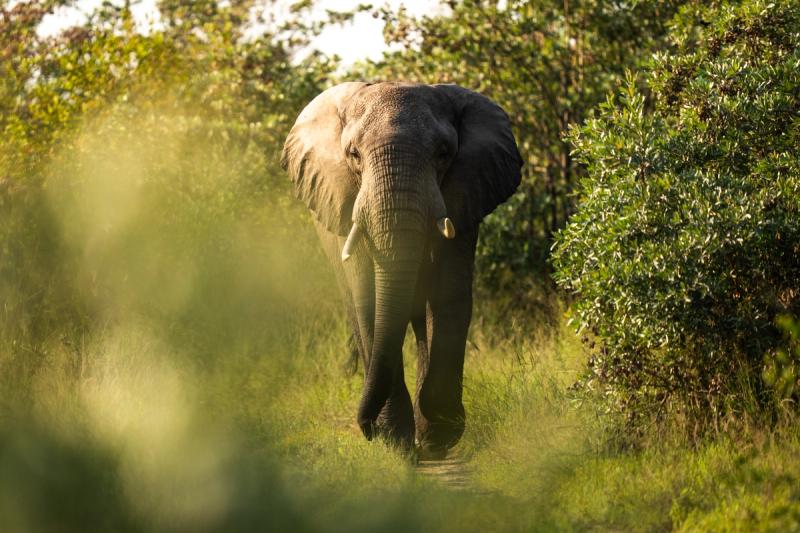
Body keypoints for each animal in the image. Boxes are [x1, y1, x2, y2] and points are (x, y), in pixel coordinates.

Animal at [281, 81, 522, 456]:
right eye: (353, 155)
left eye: (443, 153)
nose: (364, 427)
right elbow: (369, 300)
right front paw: (395, 440)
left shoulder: (463, 197)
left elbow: (448, 295)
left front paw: (438, 436)